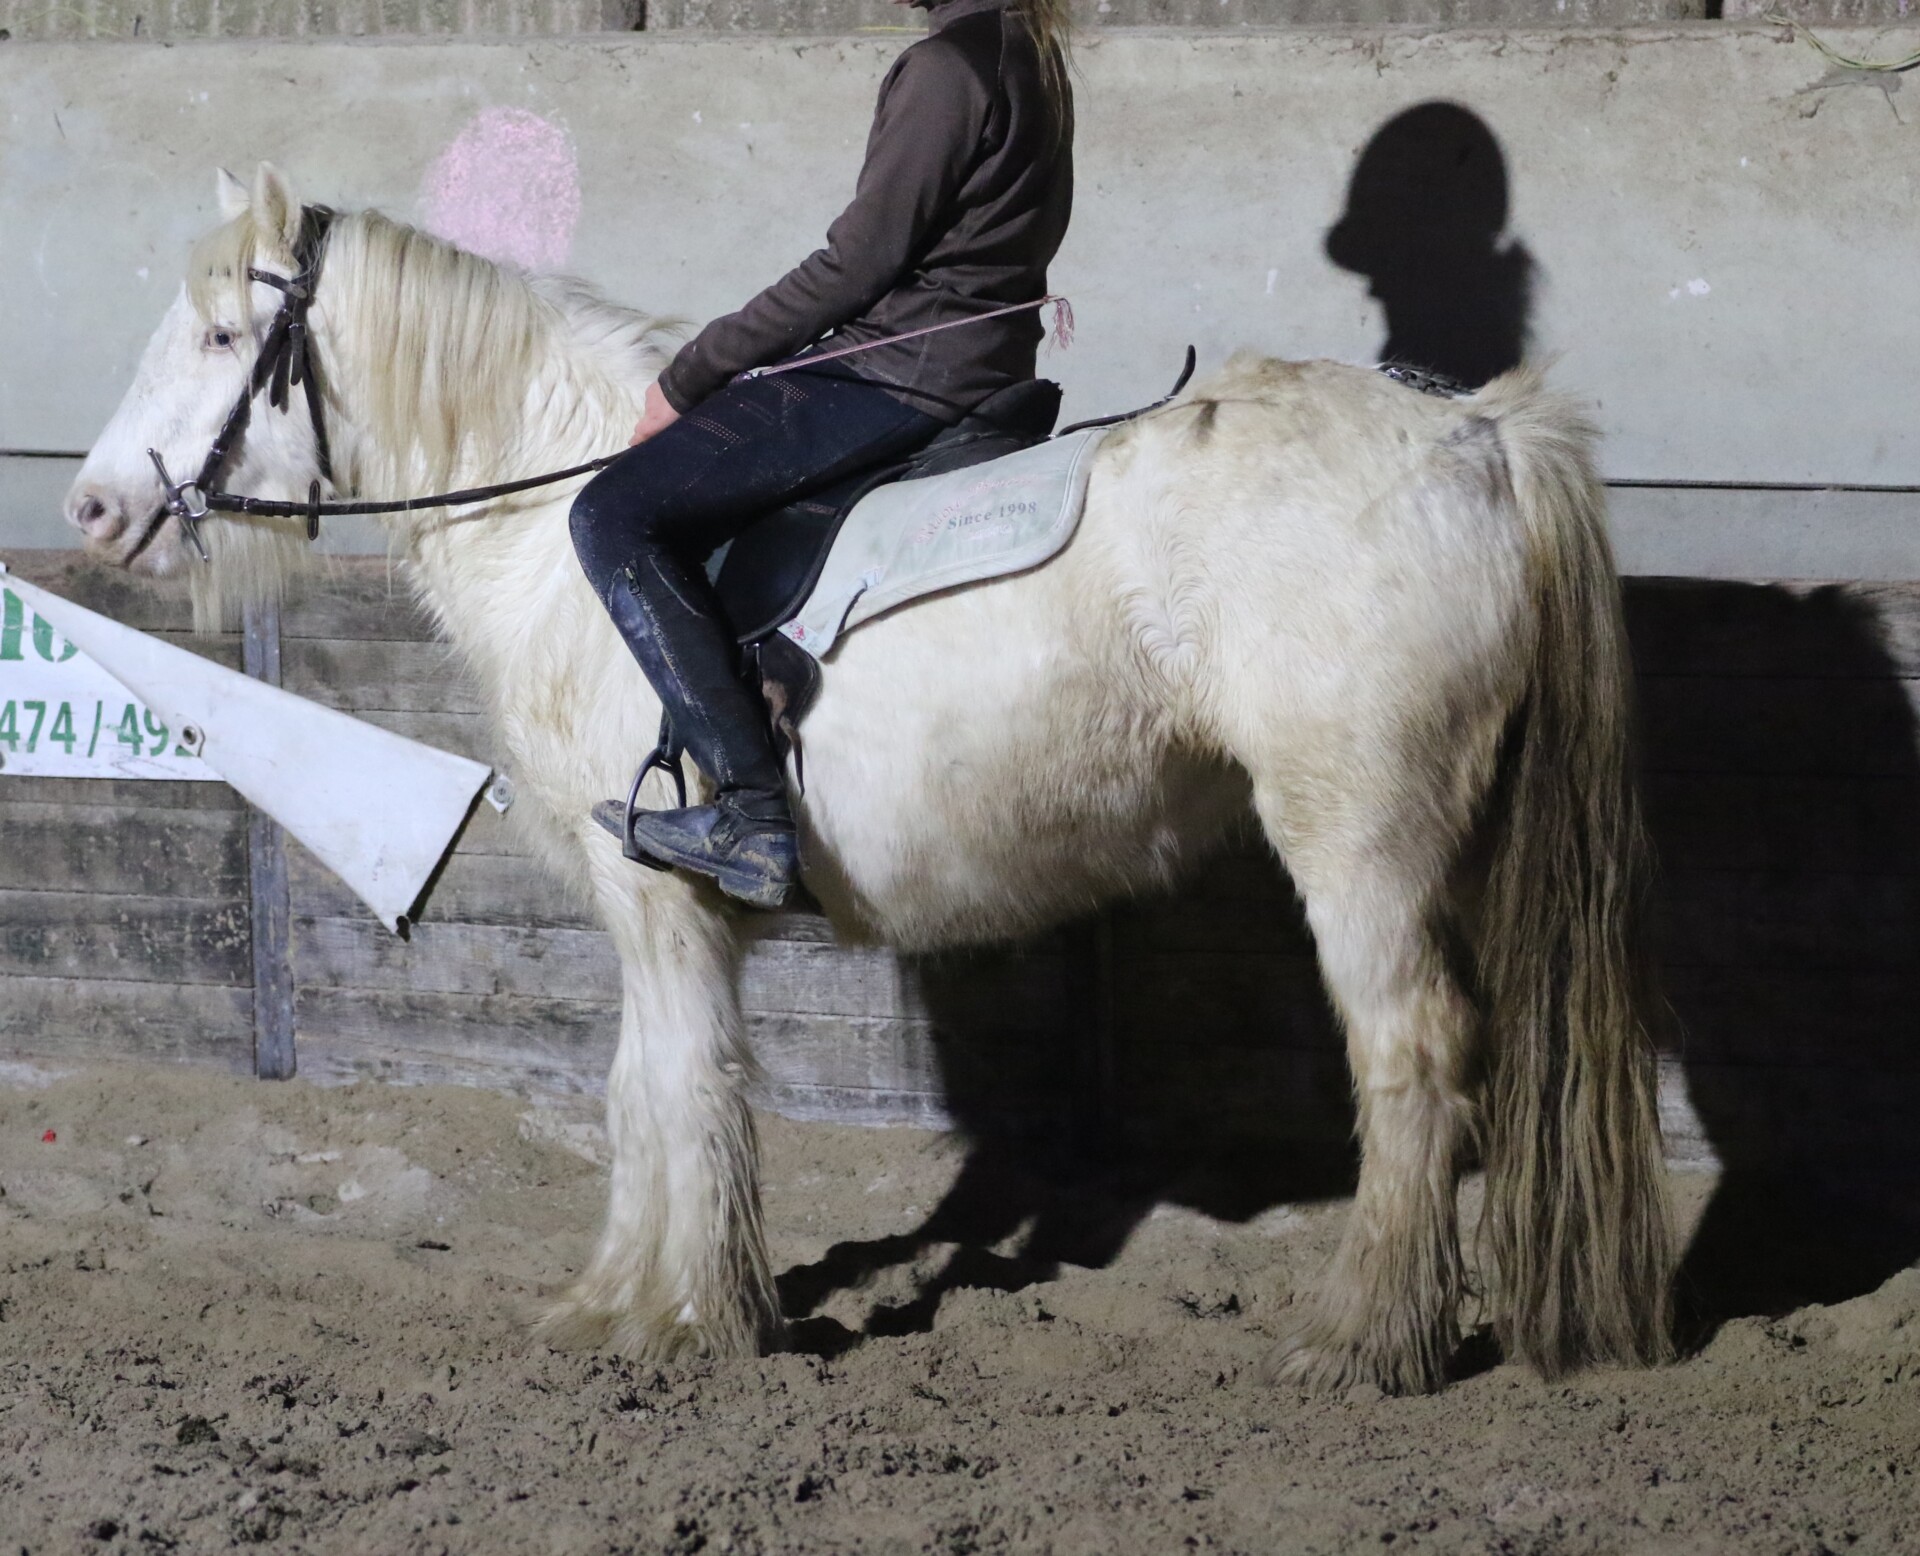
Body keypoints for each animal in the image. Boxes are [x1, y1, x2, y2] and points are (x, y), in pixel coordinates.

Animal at [65, 162, 1674, 1394]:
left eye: (221, 335)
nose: (92, 506)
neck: (542, 512)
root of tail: (1478, 432)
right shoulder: (651, 907)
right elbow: (641, 1086)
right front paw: (619, 1301)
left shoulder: (656, 895)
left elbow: (676, 1083)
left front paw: (684, 1317)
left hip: (1361, 841)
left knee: (1412, 1056)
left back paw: (1361, 1341)